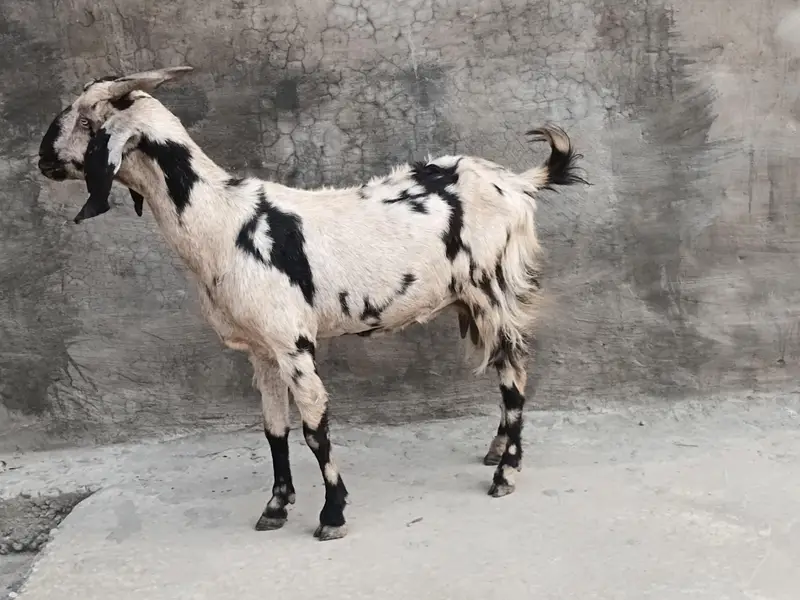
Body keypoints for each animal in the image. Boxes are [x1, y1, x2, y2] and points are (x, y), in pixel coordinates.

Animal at [37, 66, 588, 540]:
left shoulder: (293, 342)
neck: (223, 221)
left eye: (87, 122)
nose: (41, 159)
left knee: (515, 370)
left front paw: (332, 514)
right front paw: (276, 506)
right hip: (472, 303)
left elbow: (314, 429)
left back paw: (506, 473)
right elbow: (273, 429)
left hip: (494, 289)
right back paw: (497, 450)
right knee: (503, 368)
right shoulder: (260, 349)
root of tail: (517, 182)